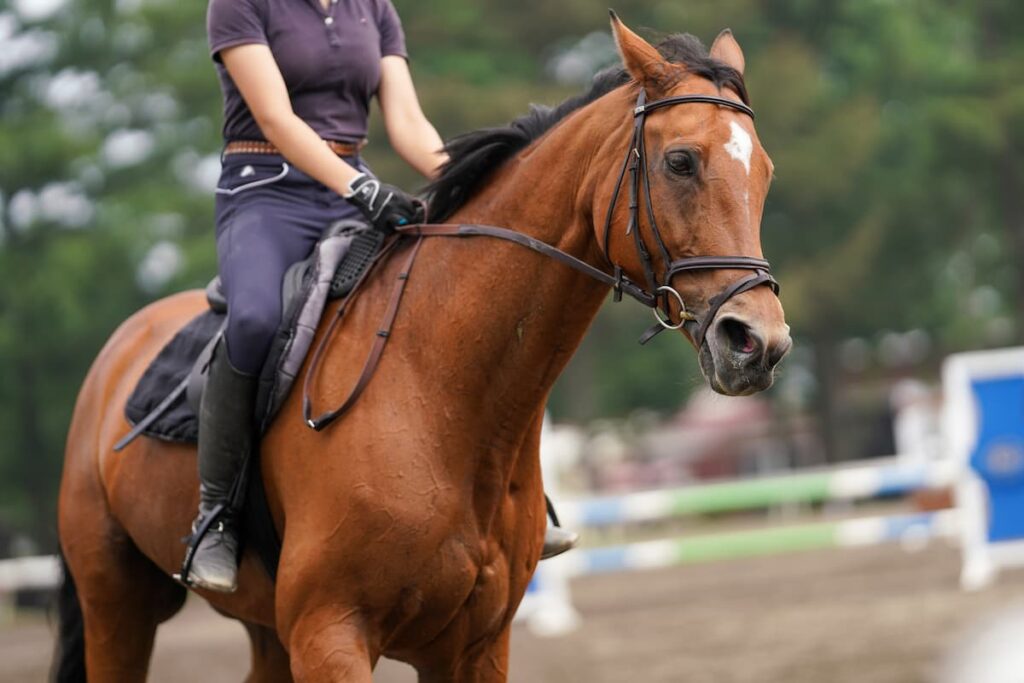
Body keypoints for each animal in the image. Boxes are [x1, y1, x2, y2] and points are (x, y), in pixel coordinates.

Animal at [54, 15, 790, 683]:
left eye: (765, 172)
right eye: (680, 162)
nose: (758, 342)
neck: (442, 396)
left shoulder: (474, 647)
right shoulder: (330, 634)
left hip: (264, 632)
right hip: (118, 603)